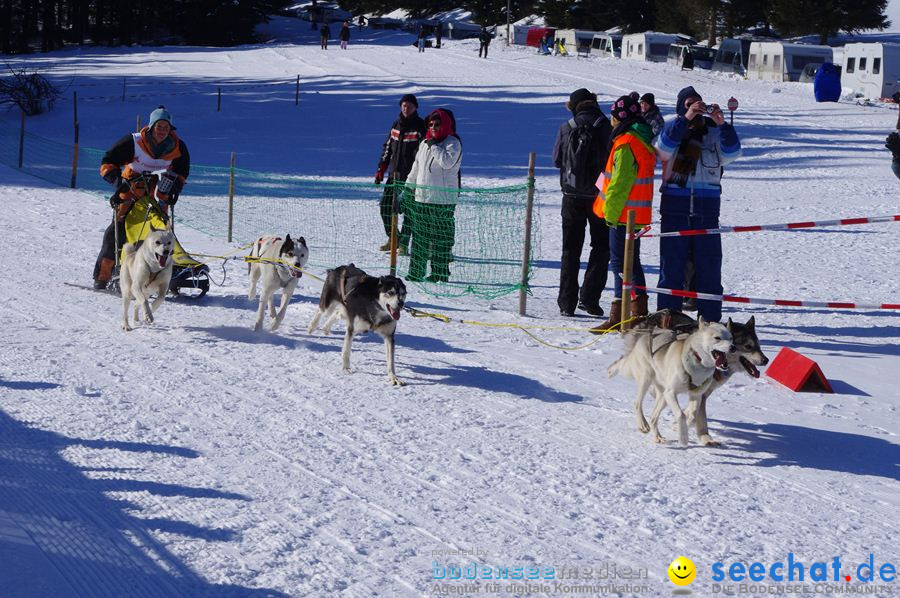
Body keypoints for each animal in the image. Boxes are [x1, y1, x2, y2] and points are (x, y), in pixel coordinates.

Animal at [608, 316, 736, 448]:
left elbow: (693, 415)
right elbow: (680, 414)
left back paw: (657, 437)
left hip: (663, 396)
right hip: (647, 380)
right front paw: (683, 437)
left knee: (653, 417)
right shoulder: (671, 393)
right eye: (717, 338)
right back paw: (642, 424)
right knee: (637, 402)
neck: (697, 361)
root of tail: (644, 337)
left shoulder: (696, 395)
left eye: (731, 338)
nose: (733, 347)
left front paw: (684, 427)